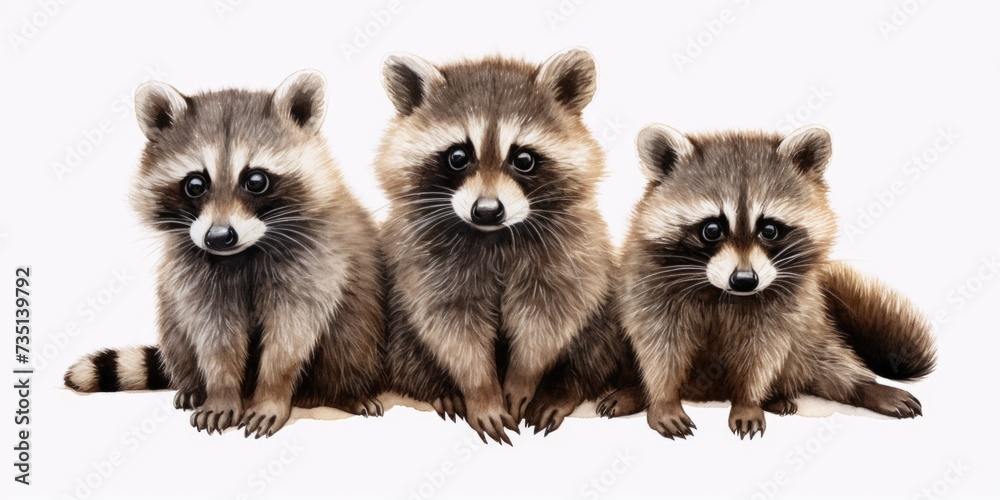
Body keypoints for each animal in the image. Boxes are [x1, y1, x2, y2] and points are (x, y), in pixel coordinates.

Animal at [64, 71, 386, 438]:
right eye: (194, 184)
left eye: (256, 180)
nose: (219, 237)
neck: (244, 253)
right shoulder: (197, 275)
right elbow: (214, 336)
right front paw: (221, 392)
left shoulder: (316, 260)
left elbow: (290, 334)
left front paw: (272, 394)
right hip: (173, 317)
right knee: (177, 329)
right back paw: (192, 387)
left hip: (363, 331)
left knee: (350, 341)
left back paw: (347, 393)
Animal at [377, 49, 635, 444]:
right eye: (458, 156)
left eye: (523, 159)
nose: (486, 210)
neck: (493, 236)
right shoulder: (424, 257)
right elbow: (452, 326)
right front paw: (481, 391)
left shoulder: (569, 249)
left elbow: (548, 317)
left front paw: (522, 378)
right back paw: (440, 390)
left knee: (596, 333)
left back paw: (567, 388)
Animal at [598, 124, 936, 439]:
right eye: (711, 229)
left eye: (770, 230)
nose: (745, 280)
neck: (723, 293)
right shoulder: (649, 286)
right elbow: (660, 348)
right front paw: (663, 399)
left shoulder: (788, 306)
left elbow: (763, 353)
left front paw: (748, 401)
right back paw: (635, 393)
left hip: (812, 336)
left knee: (828, 364)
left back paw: (858, 388)